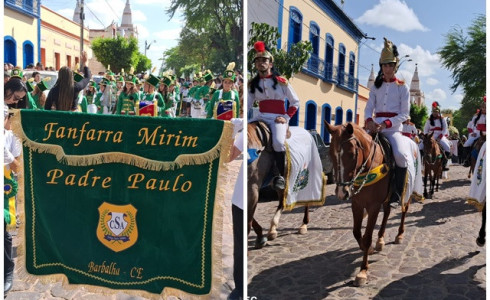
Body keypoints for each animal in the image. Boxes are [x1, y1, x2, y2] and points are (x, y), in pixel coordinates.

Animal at [247, 120, 308, 250]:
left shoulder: (252, 188)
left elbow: (248, 220)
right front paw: (261, 237)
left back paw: (303, 225)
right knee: (281, 203)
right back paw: (272, 230)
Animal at [326, 123, 414, 288]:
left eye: (352, 154)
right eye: (330, 153)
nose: (342, 192)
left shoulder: (373, 206)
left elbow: (367, 237)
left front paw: (363, 271)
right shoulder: (357, 204)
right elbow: (356, 232)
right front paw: (371, 248)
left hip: (408, 193)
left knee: (404, 210)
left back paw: (399, 235)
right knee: (387, 212)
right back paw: (380, 240)